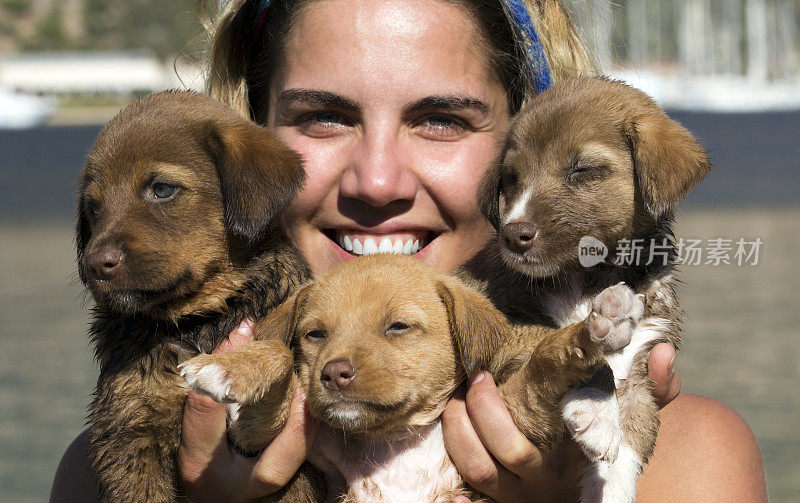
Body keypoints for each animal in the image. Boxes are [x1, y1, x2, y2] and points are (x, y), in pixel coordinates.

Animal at [76, 91, 320, 503]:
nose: (93, 265)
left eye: (162, 189)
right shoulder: (129, 433)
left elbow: (282, 358)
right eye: (94, 208)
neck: (198, 320)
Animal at [180, 256, 644, 503]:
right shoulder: (253, 437)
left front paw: (596, 332)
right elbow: (277, 358)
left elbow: (544, 362)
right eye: (315, 335)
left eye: (397, 327)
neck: (394, 438)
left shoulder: (520, 414)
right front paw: (227, 366)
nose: (333, 373)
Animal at [468, 77, 712, 502]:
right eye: (511, 177)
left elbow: (629, 451)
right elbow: (558, 343)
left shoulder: (642, 369)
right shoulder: (498, 328)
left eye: (582, 170)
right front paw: (596, 412)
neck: (588, 280)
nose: (513, 234)